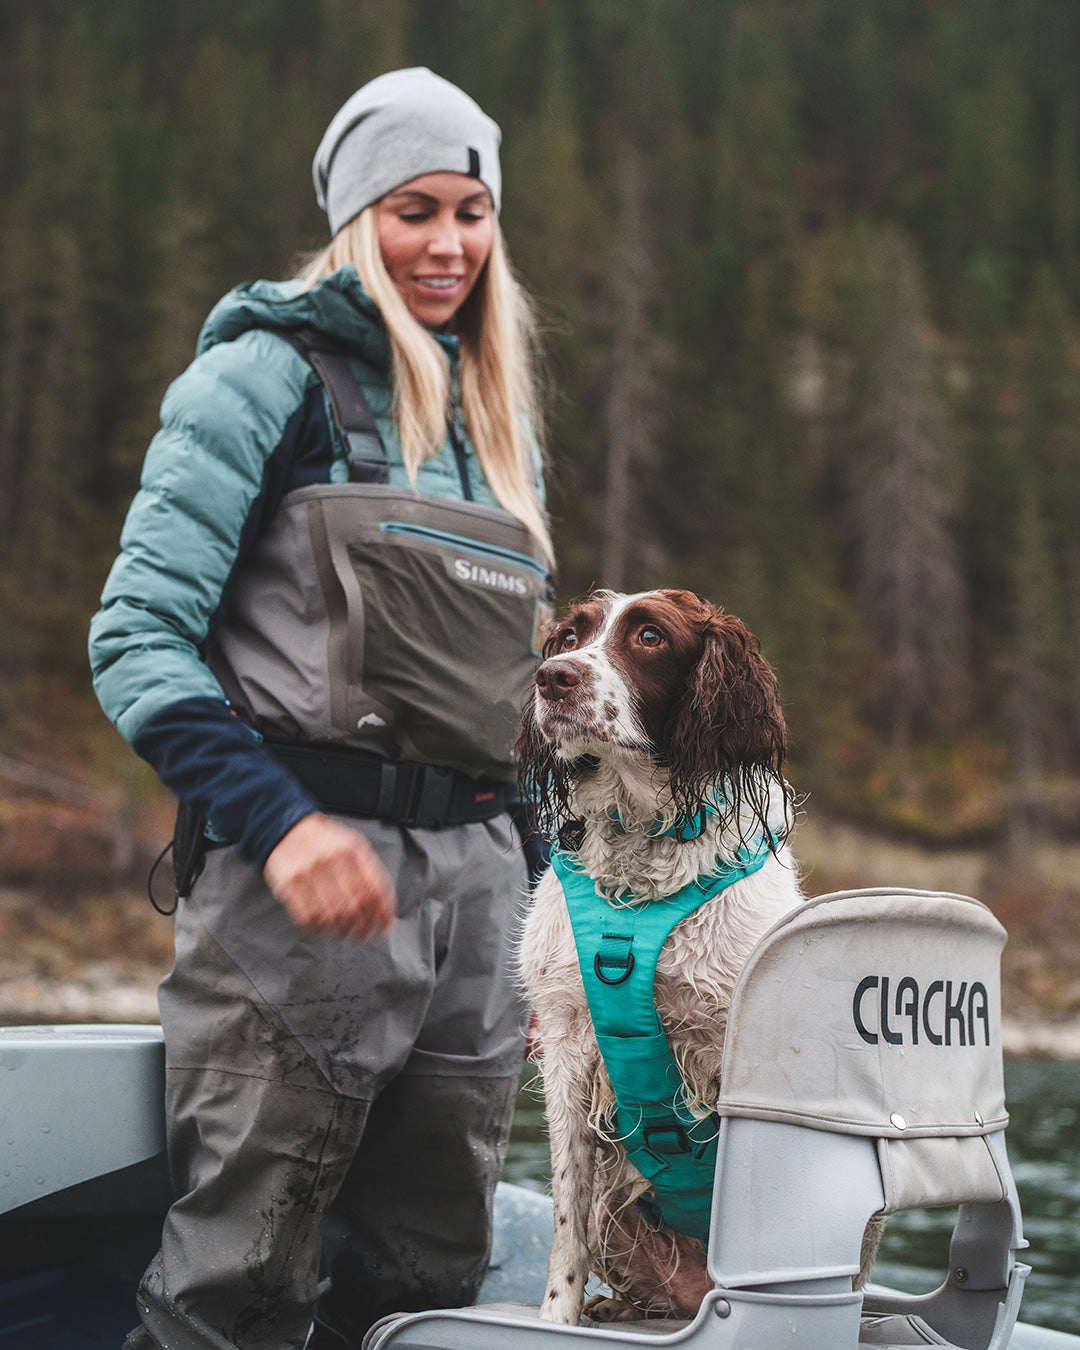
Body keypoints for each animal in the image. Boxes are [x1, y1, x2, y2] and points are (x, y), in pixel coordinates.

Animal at [518, 585, 804, 1323]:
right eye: (569, 637)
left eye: (649, 636)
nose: (552, 678)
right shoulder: (565, 1042)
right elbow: (565, 1215)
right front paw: (557, 1318)